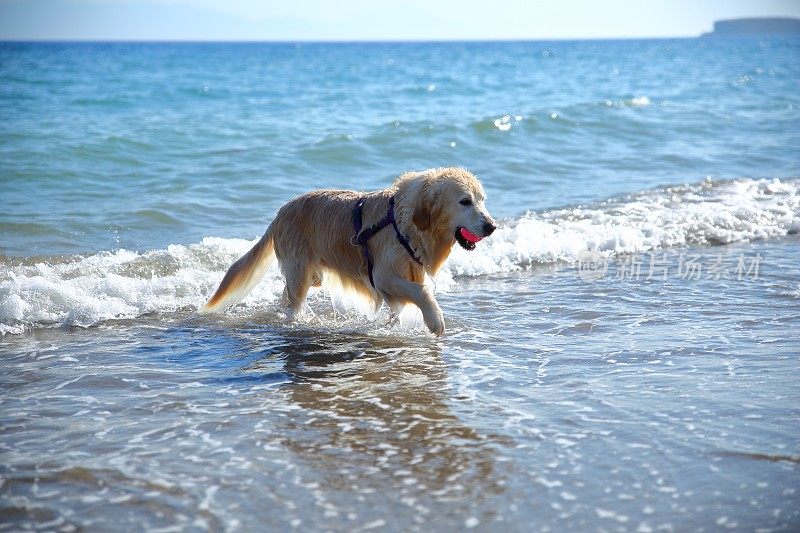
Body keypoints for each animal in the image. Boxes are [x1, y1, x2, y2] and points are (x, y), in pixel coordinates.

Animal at [202, 166, 494, 334]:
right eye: (465, 201)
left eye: (482, 200)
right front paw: (435, 320)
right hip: (300, 272)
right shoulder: (383, 276)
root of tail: (279, 213)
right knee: (293, 301)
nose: (491, 226)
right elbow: (422, 292)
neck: (403, 222)